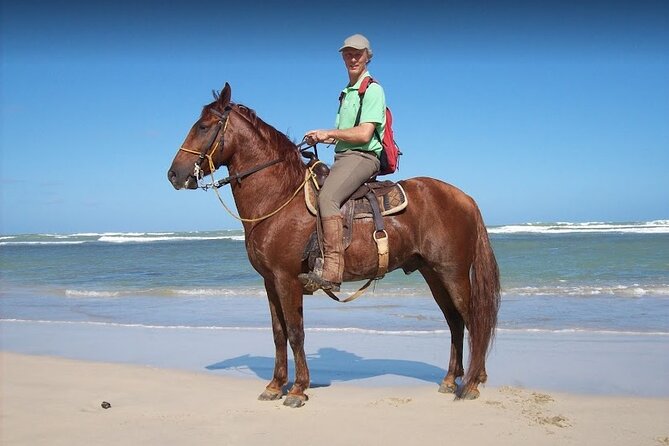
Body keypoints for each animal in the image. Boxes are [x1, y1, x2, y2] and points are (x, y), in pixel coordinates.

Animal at [167, 83, 501, 407]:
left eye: (203, 126)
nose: (174, 174)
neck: (278, 197)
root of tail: (465, 198)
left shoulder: (287, 280)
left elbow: (295, 332)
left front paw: (298, 389)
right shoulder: (270, 282)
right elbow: (278, 333)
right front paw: (275, 385)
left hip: (452, 273)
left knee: (474, 321)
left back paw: (472, 383)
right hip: (433, 274)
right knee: (455, 322)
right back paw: (452, 379)